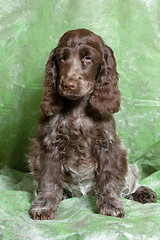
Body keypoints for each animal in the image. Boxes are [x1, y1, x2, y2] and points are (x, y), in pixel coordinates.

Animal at [28, 28, 156, 219]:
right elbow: (49, 179)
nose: (68, 84)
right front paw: (44, 206)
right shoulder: (49, 146)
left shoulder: (108, 146)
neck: (78, 110)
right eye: (62, 58)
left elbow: (108, 179)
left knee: (128, 184)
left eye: (88, 58)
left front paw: (110, 205)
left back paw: (143, 192)